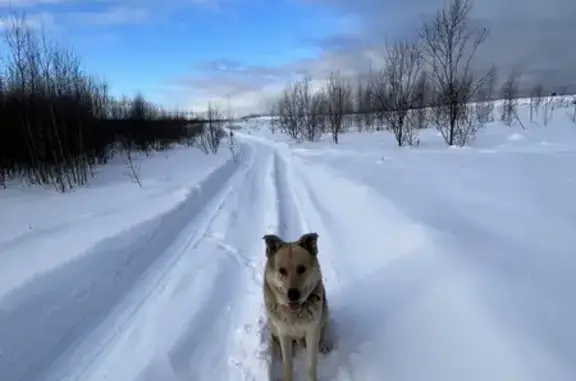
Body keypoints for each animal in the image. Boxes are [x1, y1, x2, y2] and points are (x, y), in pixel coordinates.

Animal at [260, 232, 332, 380]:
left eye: (301, 269)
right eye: (282, 271)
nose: (293, 294)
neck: (295, 313)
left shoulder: (311, 332)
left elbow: (311, 364)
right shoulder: (284, 333)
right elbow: (287, 363)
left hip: (325, 312)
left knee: (323, 329)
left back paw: (324, 343)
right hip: (273, 325)